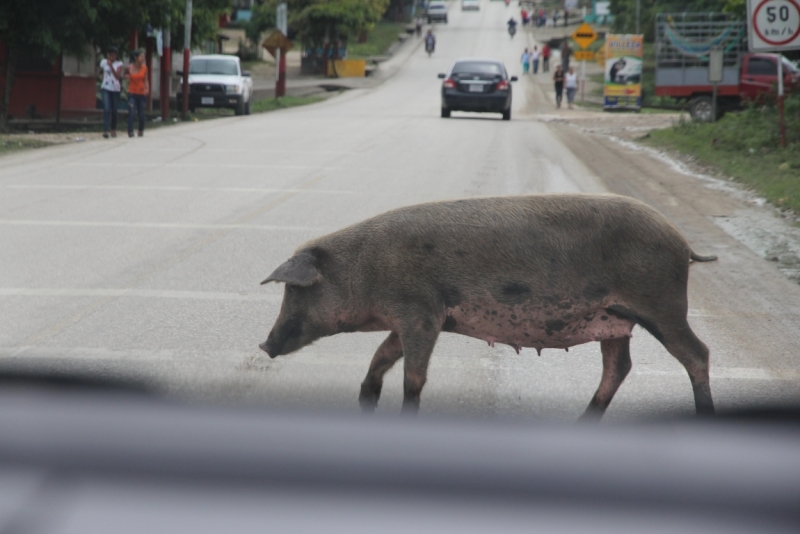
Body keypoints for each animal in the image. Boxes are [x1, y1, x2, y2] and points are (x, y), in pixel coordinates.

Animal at [260, 195, 716, 420]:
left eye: (295, 291)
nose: (264, 345)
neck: (366, 269)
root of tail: (683, 244)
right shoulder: (412, 318)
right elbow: (381, 357)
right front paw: (365, 401)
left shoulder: (422, 313)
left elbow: (413, 376)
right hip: (616, 321)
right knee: (618, 368)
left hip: (662, 304)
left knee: (698, 354)